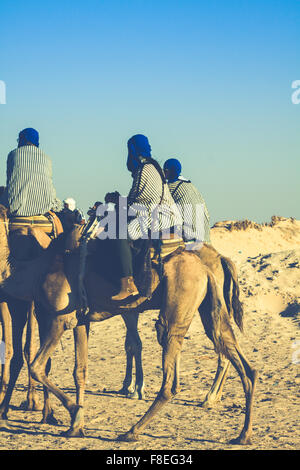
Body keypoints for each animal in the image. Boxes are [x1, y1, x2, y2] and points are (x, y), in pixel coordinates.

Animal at [0, 206, 258, 444]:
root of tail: (209, 266)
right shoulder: (80, 320)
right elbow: (79, 371)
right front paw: (75, 427)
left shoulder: (58, 319)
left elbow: (37, 366)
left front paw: (75, 412)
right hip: (208, 307)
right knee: (239, 359)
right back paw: (243, 434)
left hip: (177, 306)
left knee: (169, 377)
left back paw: (132, 431)